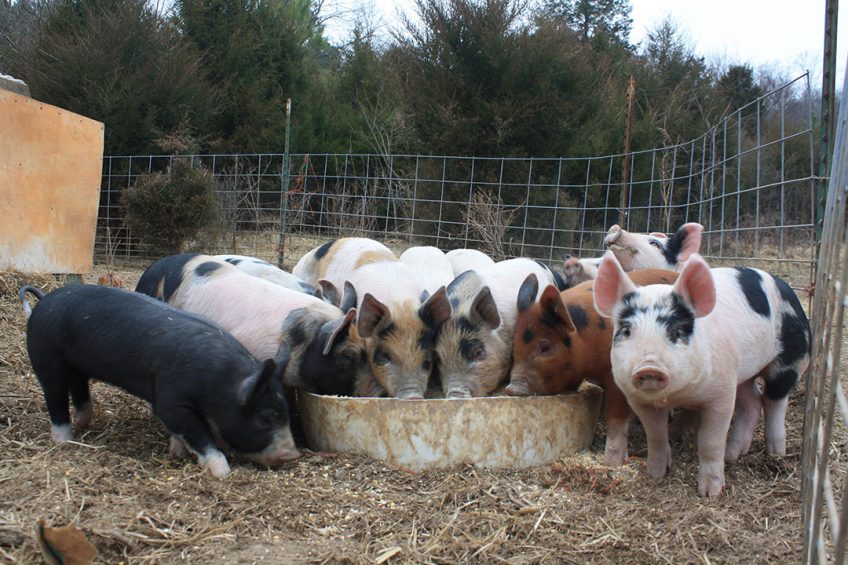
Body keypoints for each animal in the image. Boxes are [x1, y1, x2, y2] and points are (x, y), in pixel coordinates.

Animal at [592, 251, 812, 494]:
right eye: (627, 331)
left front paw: (710, 493)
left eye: (677, 331)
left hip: (791, 358)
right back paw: (733, 455)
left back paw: (776, 453)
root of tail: (785, 286)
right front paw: (656, 474)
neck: (677, 395)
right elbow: (656, 435)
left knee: (775, 400)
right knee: (752, 401)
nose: (649, 366)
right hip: (741, 374)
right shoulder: (638, 400)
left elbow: (710, 441)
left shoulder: (721, 393)